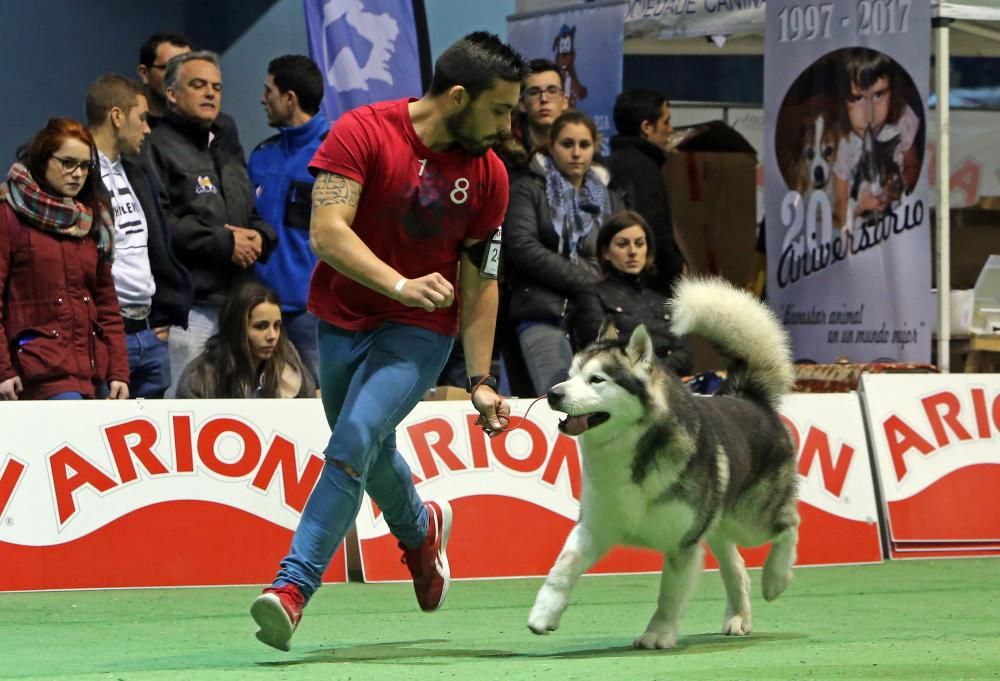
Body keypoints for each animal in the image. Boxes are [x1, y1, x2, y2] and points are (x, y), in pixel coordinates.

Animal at [528, 276, 800, 648]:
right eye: (569, 375)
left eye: (597, 379)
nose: (554, 393)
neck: (628, 453)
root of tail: (749, 398)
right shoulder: (596, 526)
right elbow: (563, 567)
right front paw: (544, 614)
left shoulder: (682, 543)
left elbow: (669, 594)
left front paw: (658, 633)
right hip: (719, 523)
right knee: (737, 567)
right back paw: (738, 617)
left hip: (750, 520)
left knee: (789, 524)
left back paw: (776, 579)